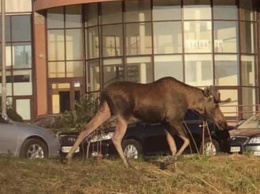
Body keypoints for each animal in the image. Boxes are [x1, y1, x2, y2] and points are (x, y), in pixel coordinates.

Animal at [64, 76, 228, 167]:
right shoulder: (173, 120)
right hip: (122, 115)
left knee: (86, 128)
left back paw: (68, 157)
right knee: (116, 138)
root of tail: (103, 91)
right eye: (215, 105)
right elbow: (186, 140)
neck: (189, 101)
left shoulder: (165, 123)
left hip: (105, 109)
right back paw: (127, 164)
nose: (223, 123)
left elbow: (173, 146)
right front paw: (168, 162)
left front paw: (176, 169)